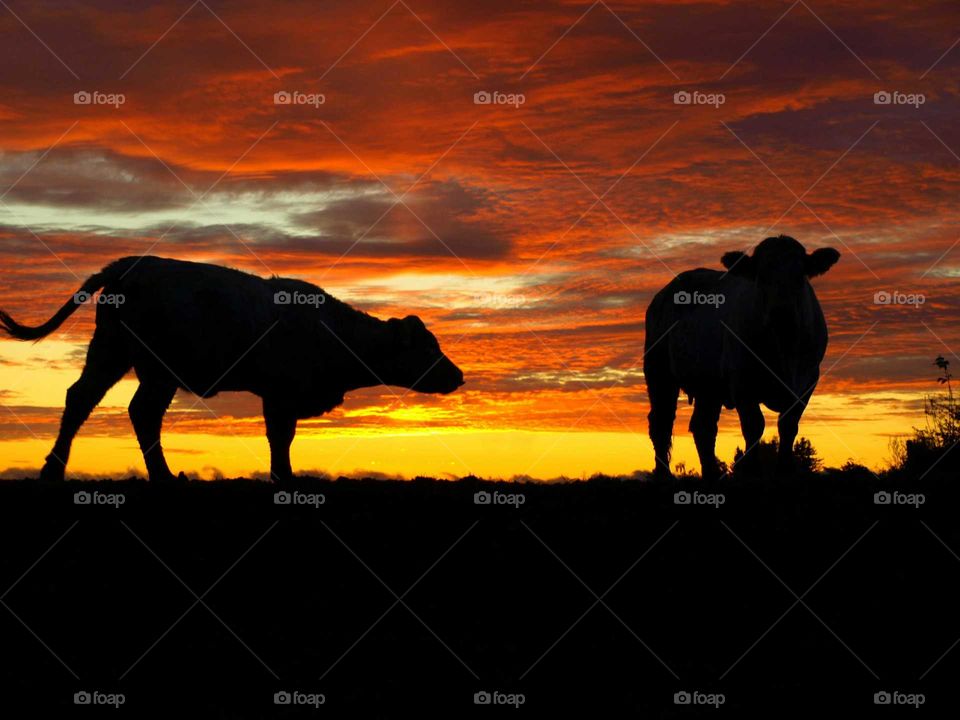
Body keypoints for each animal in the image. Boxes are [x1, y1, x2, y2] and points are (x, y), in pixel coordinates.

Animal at [0, 258, 464, 484]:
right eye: (429, 348)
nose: (458, 375)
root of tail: (131, 263)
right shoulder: (280, 394)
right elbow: (281, 438)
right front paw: (284, 477)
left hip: (112, 351)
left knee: (83, 398)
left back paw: (54, 470)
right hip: (155, 368)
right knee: (139, 412)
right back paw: (163, 476)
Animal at [644, 236, 840, 480]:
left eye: (800, 275)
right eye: (760, 276)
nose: (781, 312)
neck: (782, 347)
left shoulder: (807, 381)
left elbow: (788, 426)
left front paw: (784, 471)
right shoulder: (742, 382)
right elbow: (754, 426)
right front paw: (752, 472)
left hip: (708, 385)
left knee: (703, 427)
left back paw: (711, 475)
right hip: (658, 372)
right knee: (661, 423)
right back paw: (664, 475)